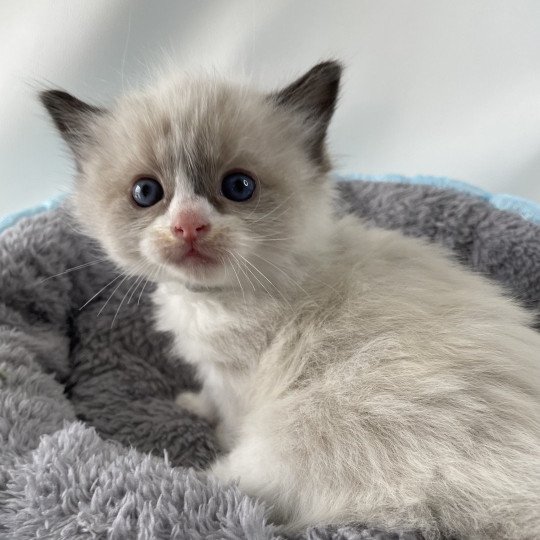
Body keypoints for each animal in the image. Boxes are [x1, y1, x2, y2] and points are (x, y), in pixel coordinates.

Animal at [41, 61, 540, 536]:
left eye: (238, 187)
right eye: (146, 193)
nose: (188, 226)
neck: (214, 300)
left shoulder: (237, 379)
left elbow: (228, 419)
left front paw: (207, 425)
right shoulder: (217, 371)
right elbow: (209, 397)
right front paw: (193, 404)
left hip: (291, 436)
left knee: (228, 484)